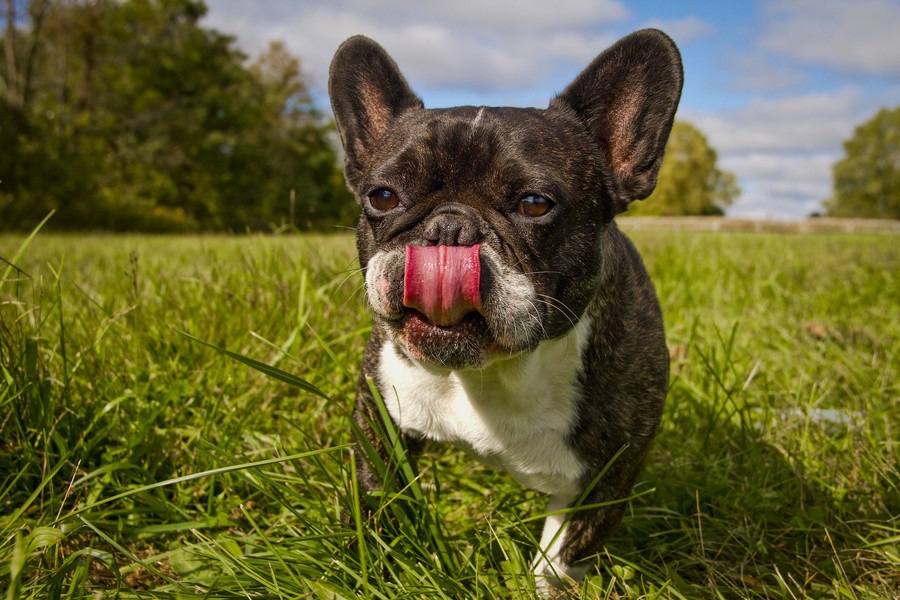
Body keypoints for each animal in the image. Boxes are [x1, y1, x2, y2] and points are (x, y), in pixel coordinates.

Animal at [328, 29, 684, 596]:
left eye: (535, 204)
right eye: (381, 197)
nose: (448, 228)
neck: (491, 374)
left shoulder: (607, 475)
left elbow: (563, 555)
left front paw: (547, 585)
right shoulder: (380, 415)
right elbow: (377, 495)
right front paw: (369, 563)